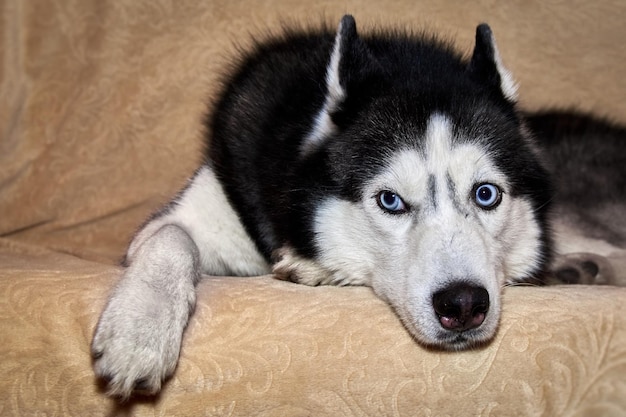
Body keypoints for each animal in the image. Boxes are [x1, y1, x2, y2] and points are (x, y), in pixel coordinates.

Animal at [90, 13, 620, 396]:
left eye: (486, 194)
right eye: (390, 201)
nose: (464, 304)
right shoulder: (197, 210)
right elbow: (170, 236)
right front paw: (138, 333)